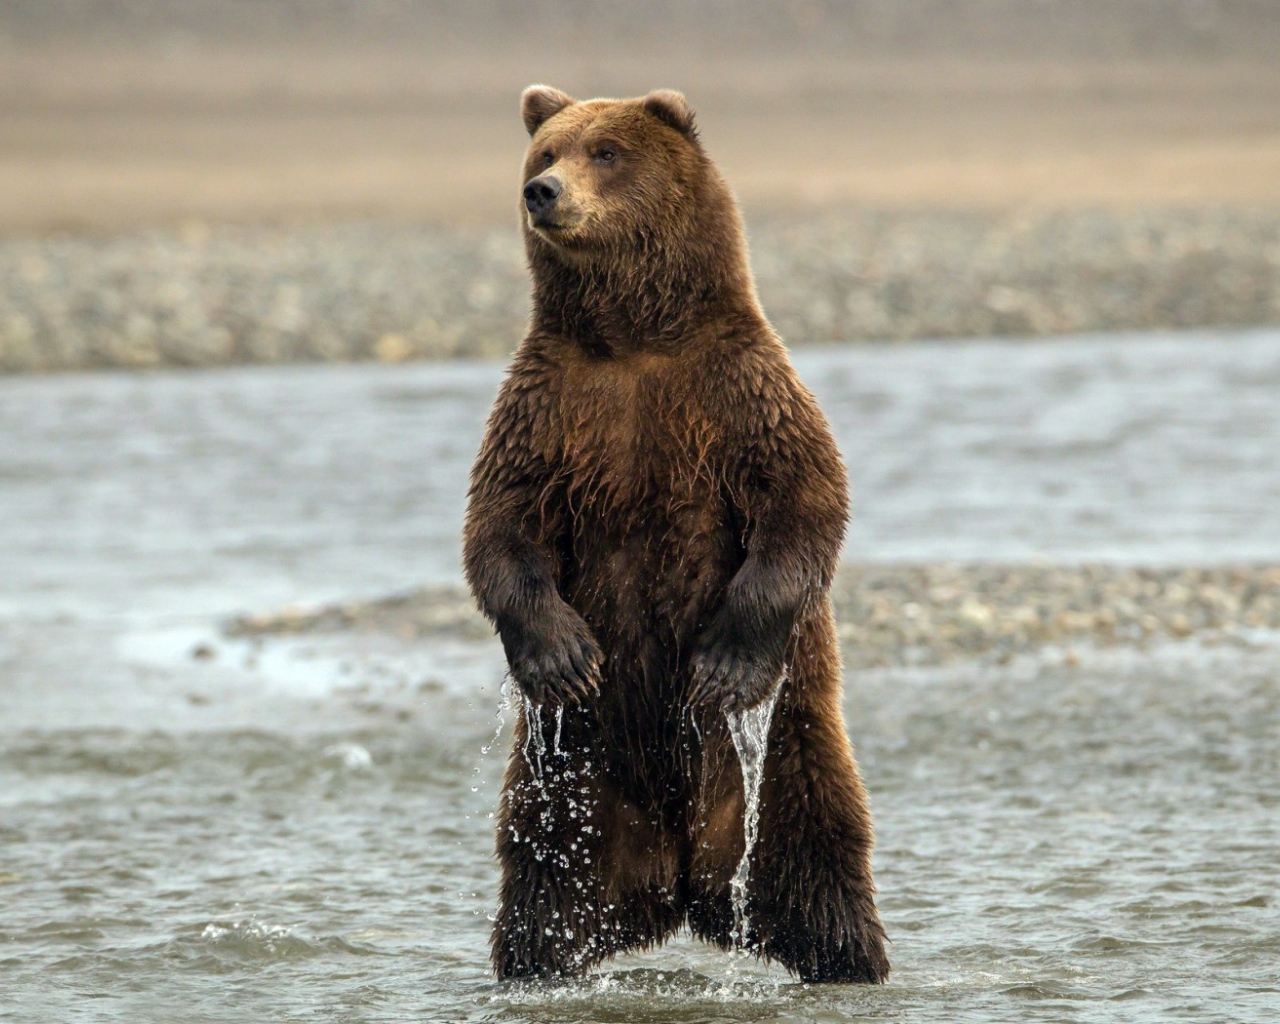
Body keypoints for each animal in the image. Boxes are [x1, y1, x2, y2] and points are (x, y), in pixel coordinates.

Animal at [462, 84, 889, 984]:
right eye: (545, 151)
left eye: (606, 152)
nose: (542, 192)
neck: (633, 339)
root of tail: (681, 882)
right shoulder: (548, 410)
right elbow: (501, 528)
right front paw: (562, 657)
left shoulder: (740, 393)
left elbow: (805, 503)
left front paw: (724, 666)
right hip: (571, 779)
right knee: (542, 880)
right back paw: (537, 964)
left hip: (789, 749)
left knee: (819, 861)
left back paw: (850, 960)